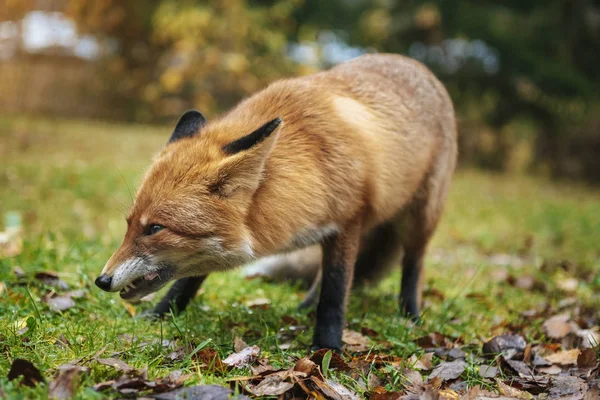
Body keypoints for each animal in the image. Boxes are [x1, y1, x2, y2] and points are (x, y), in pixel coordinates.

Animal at [96, 53, 458, 350]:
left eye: (155, 228)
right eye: (129, 224)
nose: (102, 280)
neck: (312, 164)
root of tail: (417, 66)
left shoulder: (348, 222)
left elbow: (335, 292)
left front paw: (326, 349)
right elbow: (185, 284)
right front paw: (159, 315)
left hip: (421, 218)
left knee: (413, 265)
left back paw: (410, 314)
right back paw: (304, 308)